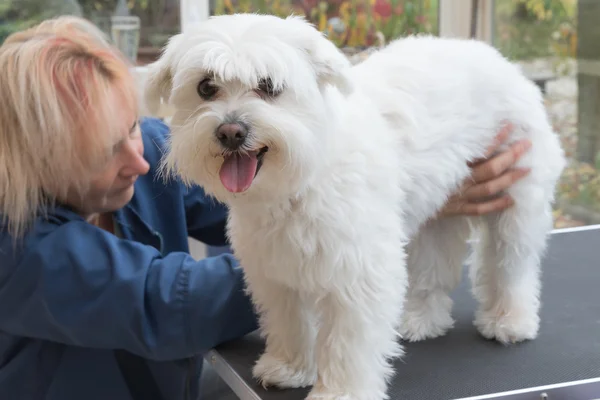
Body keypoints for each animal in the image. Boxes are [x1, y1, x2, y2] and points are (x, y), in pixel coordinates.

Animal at [145, 14, 568, 400]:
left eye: (268, 86)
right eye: (206, 87)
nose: (231, 131)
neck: (301, 175)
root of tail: (498, 60)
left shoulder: (358, 271)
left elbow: (347, 342)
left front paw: (341, 392)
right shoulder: (277, 269)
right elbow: (289, 322)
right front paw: (290, 366)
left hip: (516, 200)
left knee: (511, 266)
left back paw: (510, 320)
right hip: (434, 214)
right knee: (433, 266)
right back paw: (422, 319)